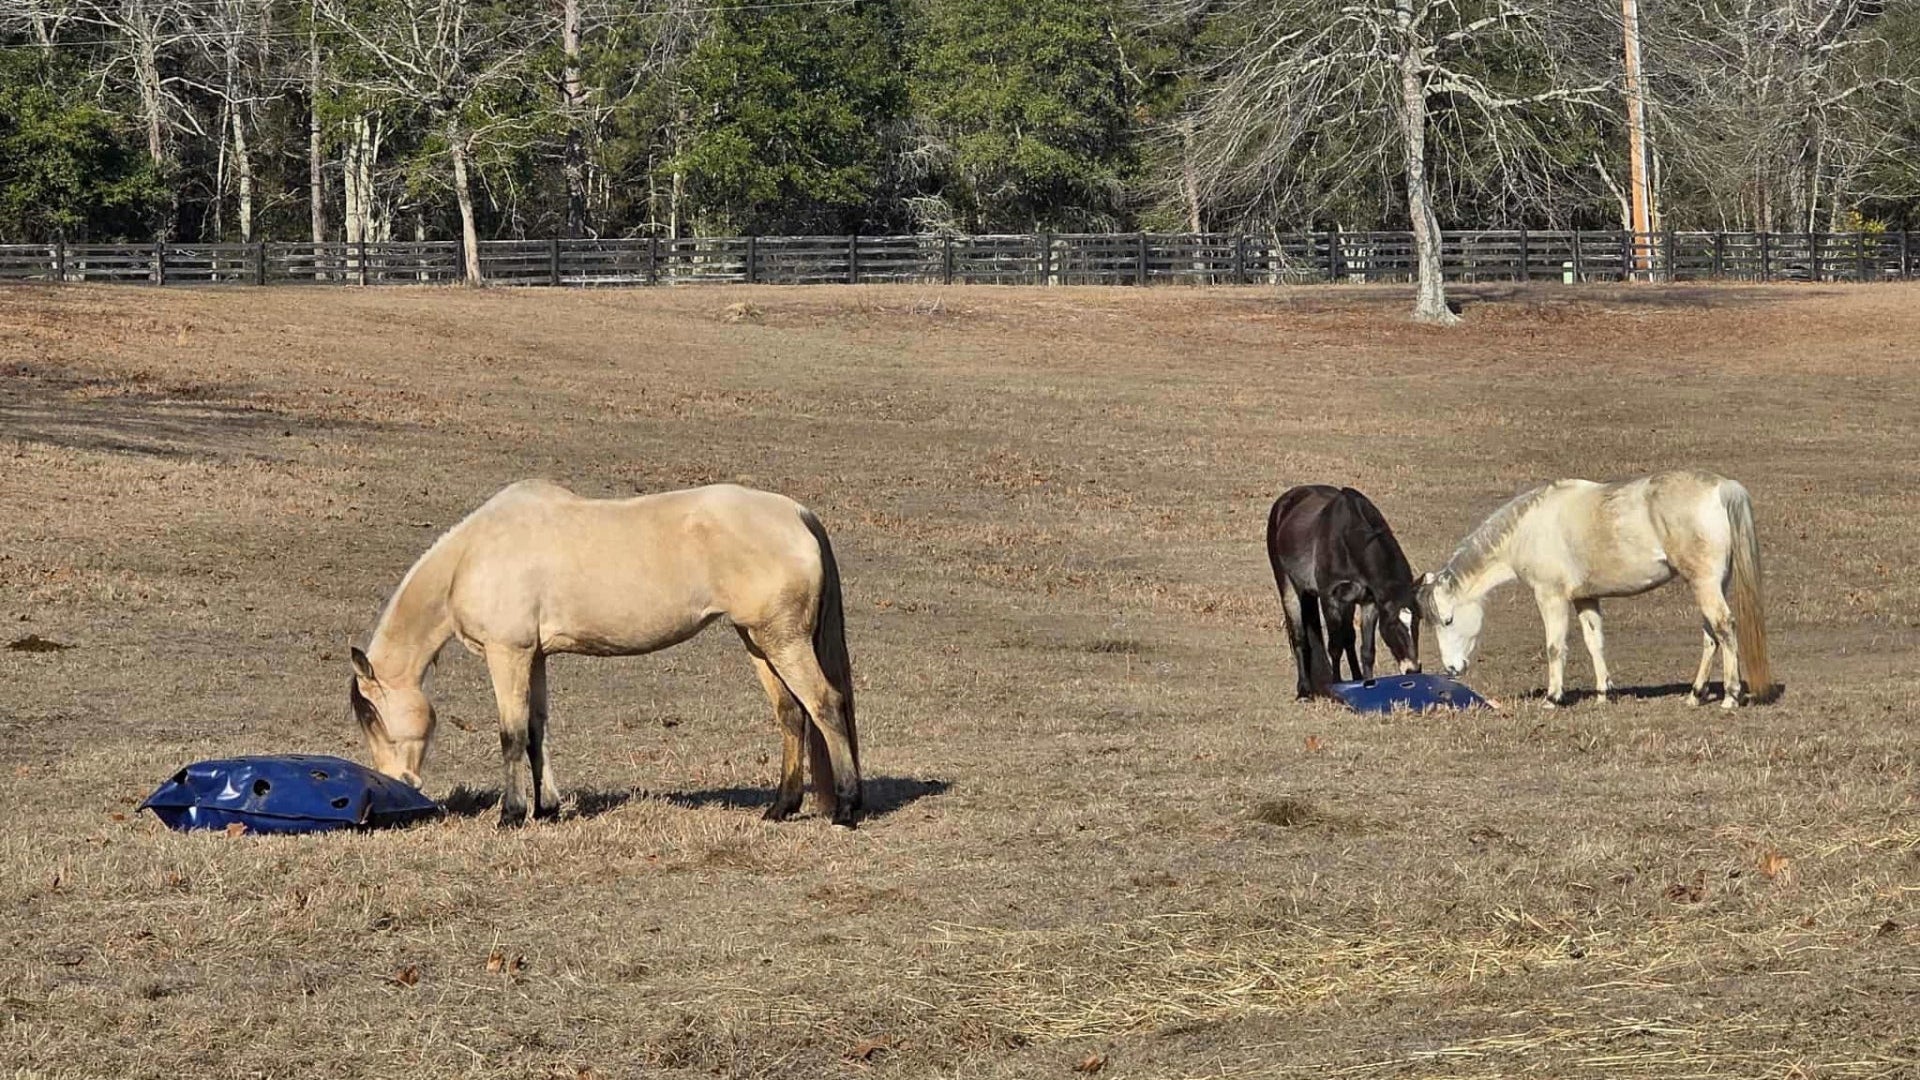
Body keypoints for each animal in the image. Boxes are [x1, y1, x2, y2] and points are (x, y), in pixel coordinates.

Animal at [347, 480, 863, 828]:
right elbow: (536, 732)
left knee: (825, 705)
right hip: (758, 641)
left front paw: (511, 814)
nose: (395, 782)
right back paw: (781, 807)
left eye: (371, 716)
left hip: (782, 641)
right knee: (792, 716)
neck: (473, 557)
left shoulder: (507, 654)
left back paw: (847, 807)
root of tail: (796, 513)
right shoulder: (535, 657)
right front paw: (547, 809)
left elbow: (511, 735)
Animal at [1265, 485, 1422, 699]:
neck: (1349, 539)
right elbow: (1334, 646)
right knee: (1300, 638)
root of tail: (1284, 502)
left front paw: (1368, 684)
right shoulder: (1329, 598)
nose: (1413, 669)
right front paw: (1336, 687)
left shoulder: (1369, 602)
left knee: (1348, 637)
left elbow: (1366, 650)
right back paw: (1304, 691)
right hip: (1289, 586)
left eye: (1417, 621)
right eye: (1392, 624)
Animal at [1417, 470, 1772, 709]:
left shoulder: (1550, 597)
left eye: (1447, 620)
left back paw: (1730, 696)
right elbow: (1594, 642)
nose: (1451, 668)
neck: (1529, 528)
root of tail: (1722, 487)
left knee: (1724, 628)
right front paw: (1604, 693)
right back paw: (1696, 695)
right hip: (1710, 584)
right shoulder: (1586, 599)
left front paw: (1553, 698)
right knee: (1710, 636)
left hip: (1705, 585)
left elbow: (1554, 647)